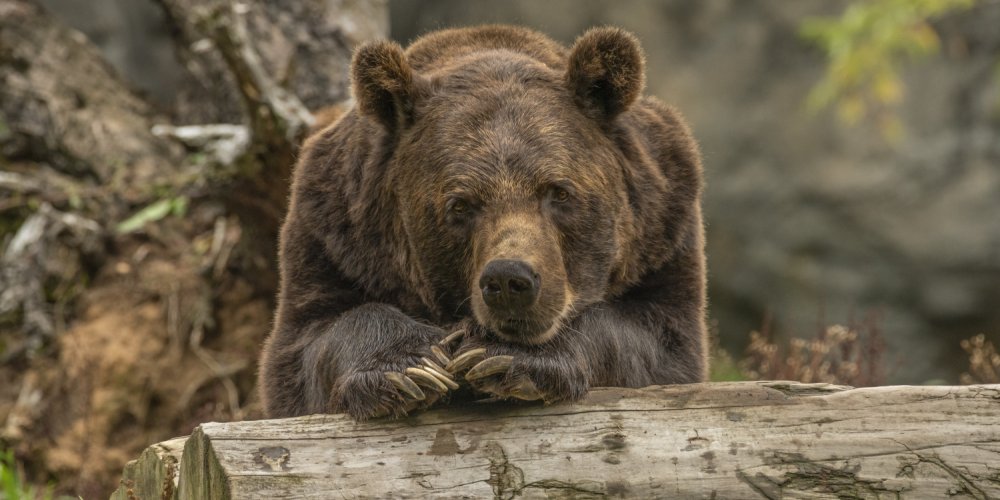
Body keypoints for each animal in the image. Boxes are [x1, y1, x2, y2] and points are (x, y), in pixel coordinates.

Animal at [258, 24, 712, 422]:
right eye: (460, 205)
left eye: (558, 191)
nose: (510, 280)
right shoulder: (334, 236)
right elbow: (308, 345)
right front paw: (411, 368)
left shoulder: (662, 232)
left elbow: (658, 343)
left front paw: (505, 357)